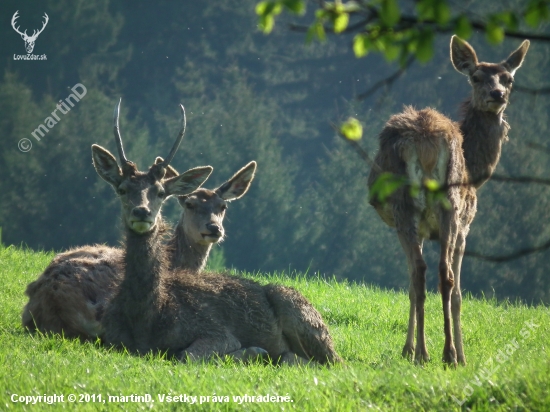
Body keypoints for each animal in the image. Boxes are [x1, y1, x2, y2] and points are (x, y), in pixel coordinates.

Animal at [368, 34, 532, 364]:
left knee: (426, 273)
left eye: (508, 78)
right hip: (440, 208)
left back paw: (430, 352)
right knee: (437, 274)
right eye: (476, 77)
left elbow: (419, 285)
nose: (497, 94)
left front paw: (411, 348)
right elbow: (451, 292)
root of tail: (426, 142)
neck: (476, 171)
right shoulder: (465, 223)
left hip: (418, 208)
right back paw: (442, 353)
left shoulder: (455, 224)